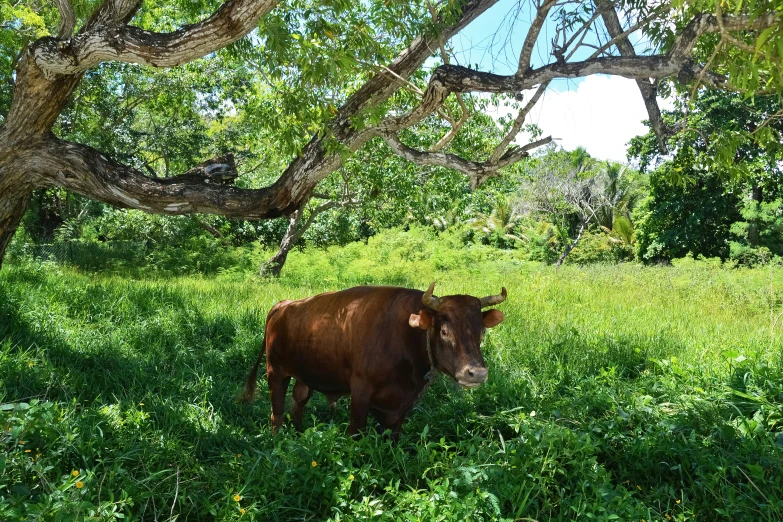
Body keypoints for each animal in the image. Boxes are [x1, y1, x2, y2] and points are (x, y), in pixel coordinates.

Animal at [240, 282, 508, 436]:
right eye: (444, 331)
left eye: (481, 331)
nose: (477, 373)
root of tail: (283, 305)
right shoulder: (361, 392)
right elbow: (355, 432)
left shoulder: (402, 405)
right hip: (275, 372)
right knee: (277, 413)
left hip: (305, 375)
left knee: (298, 403)